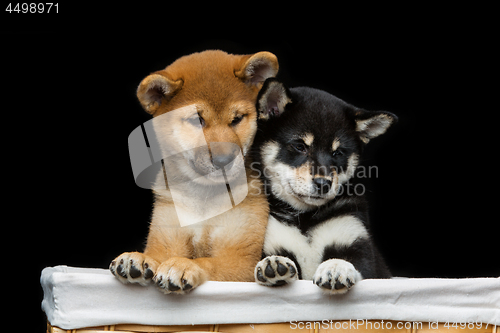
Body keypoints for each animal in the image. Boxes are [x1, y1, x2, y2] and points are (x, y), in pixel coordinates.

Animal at [110, 49, 280, 294]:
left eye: (237, 119)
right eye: (197, 120)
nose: (223, 160)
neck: (204, 198)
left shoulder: (242, 259)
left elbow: (207, 262)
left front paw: (181, 266)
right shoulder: (167, 238)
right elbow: (156, 255)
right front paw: (138, 259)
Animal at [252, 78, 396, 294]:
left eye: (338, 153)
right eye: (300, 146)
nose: (323, 183)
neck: (306, 217)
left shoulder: (356, 243)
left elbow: (350, 263)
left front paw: (336, 267)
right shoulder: (271, 239)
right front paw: (274, 264)